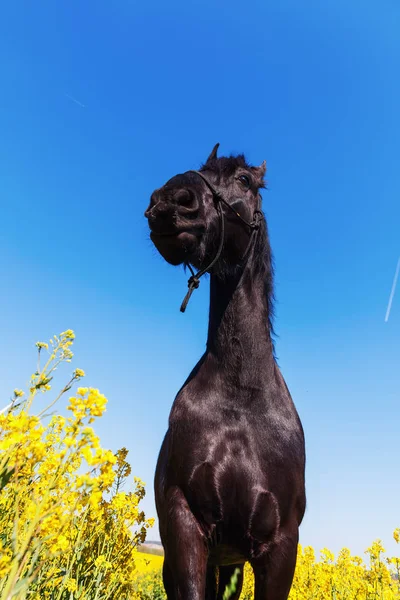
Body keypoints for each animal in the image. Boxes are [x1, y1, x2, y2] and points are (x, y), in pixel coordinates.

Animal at [145, 145, 304, 600]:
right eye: (204, 168)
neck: (241, 396)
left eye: (246, 181)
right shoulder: (184, 527)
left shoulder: (280, 545)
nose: (171, 201)